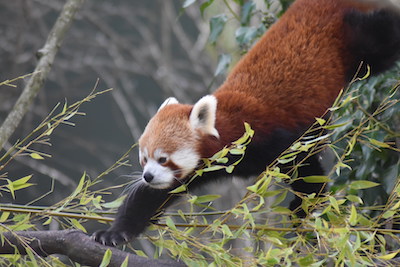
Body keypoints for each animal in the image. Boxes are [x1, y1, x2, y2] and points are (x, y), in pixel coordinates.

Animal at [94, 0, 400, 247]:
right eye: (144, 159)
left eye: (163, 158)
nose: (147, 176)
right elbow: (150, 199)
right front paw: (114, 232)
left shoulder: (270, 137)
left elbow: (305, 168)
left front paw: (303, 207)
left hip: (355, 38)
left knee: (382, 37)